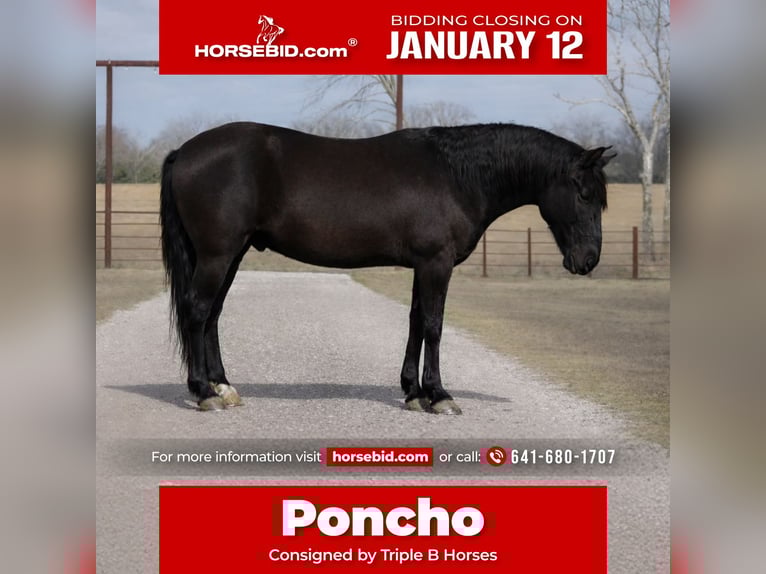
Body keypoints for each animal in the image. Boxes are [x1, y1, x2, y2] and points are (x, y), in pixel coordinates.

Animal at [160, 122, 615, 412]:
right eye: (583, 193)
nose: (588, 260)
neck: (457, 175)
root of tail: (184, 152)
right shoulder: (436, 263)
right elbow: (433, 324)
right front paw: (440, 395)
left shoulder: (423, 264)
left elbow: (415, 321)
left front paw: (413, 392)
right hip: (218, 254)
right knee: (198, 311)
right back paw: (204, 392)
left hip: (232, 254)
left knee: (213, 314)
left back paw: (224, 386)